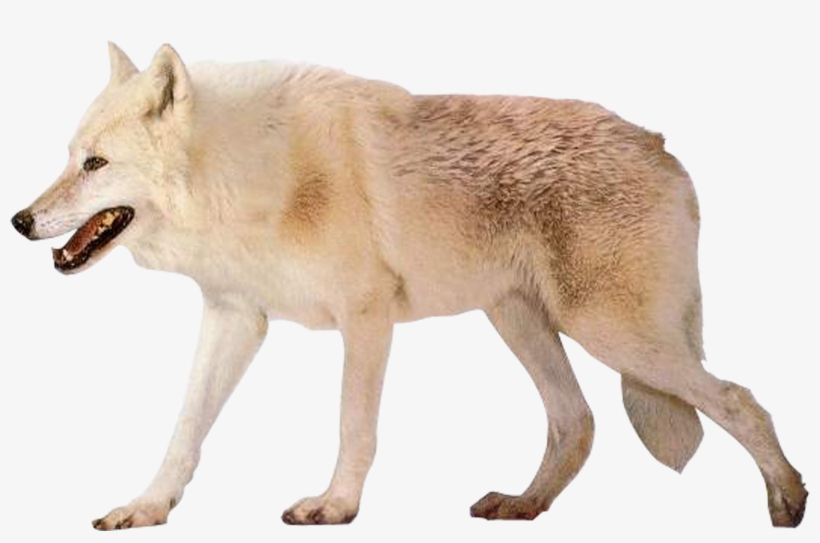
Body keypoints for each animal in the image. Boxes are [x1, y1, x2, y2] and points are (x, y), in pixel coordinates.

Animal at [10, 43, 807, 530]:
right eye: (69, 157)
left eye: (95, 164)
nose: (20, 220)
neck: (252, 174)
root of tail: (663, 148)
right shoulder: (234, 316)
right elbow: (183, 429)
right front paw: (146, 508)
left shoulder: (365, 317)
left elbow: (352, 426)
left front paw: (334, 507)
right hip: (521, 322)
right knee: (576, 422)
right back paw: (524, 505)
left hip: (611, 333)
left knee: (740, 399)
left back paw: (788, 500)